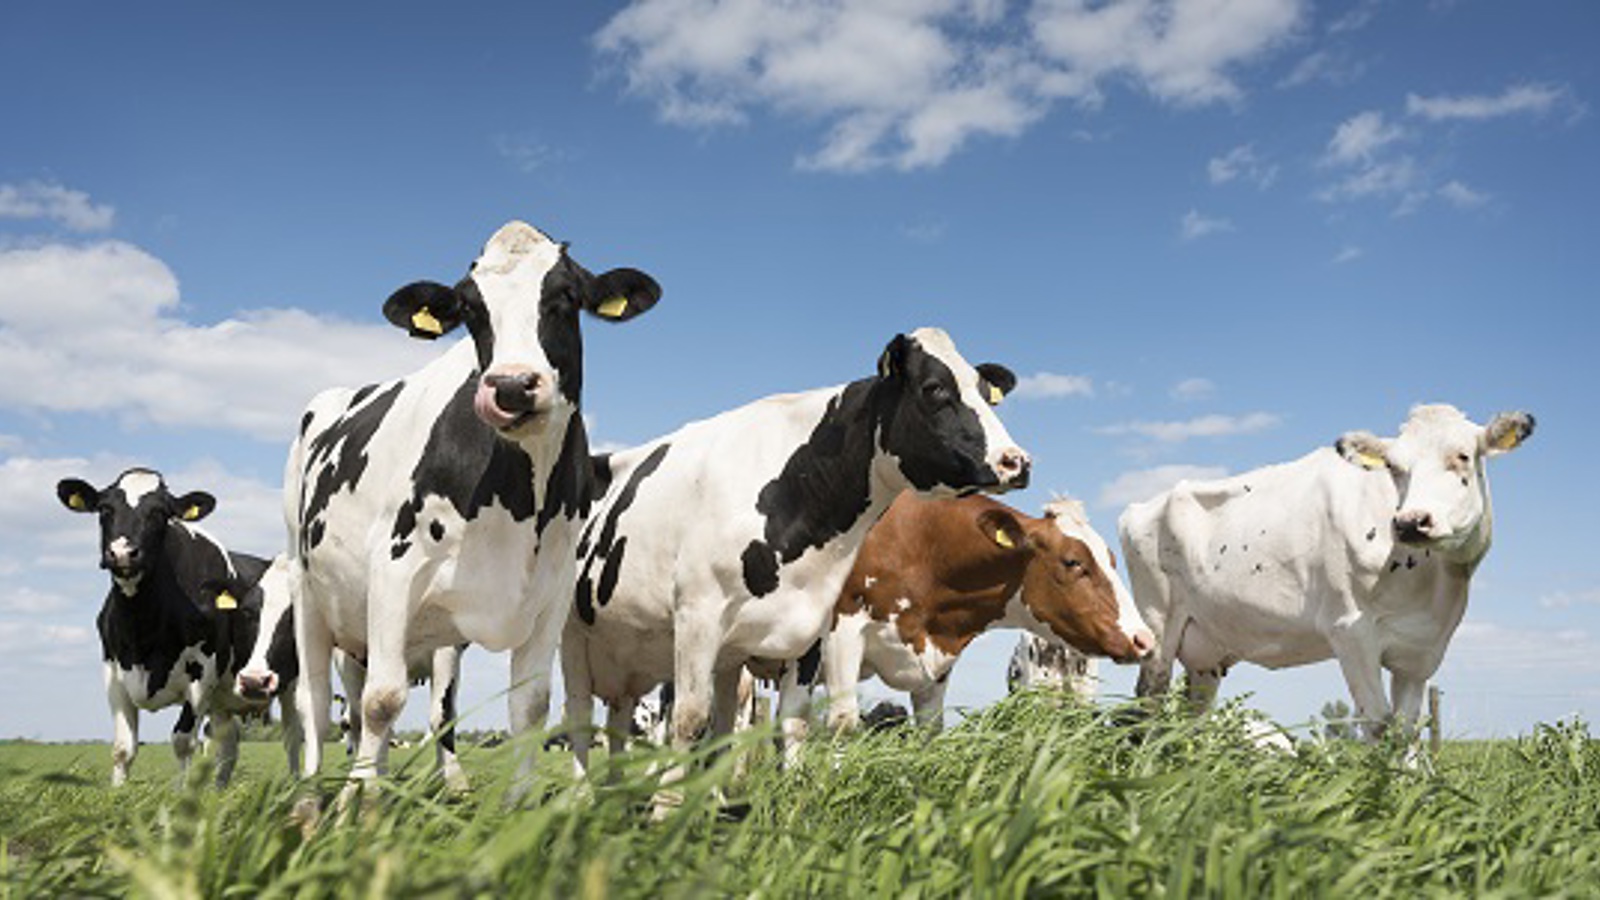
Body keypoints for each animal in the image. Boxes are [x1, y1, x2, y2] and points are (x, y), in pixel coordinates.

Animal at [56, 468, 302, 786]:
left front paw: (181, 794)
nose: (122, 553)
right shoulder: (113, 674)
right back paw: (219, 789)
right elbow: (123, 748)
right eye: (104, 509)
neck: (142, 627)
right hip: (224, 699)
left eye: (160, 513)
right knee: (228, 744)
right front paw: (117, 791)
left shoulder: (202, 676)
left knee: (292, 737)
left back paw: (297, 785)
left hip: (290, 682)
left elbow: (183, 742)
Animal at [284, 220, 661, 791]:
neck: (520, 502)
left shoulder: (551, 593)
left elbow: (530, 706)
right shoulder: (394, 569)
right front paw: (363, 805)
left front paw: (519, 802)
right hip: (308, 588)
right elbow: (381, 701)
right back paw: (315, 791)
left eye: (566, 296)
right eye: (469, 308)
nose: (511, 385)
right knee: (320, 704)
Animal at [560, 326, 1031, 782]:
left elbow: (791, 725)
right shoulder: (698, 616)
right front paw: (667, 806)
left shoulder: (807, 631)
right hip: (572, 636)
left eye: (984, 390)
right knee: (581, 717)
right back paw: (583, 795)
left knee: (629, 721)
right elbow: (690, 720)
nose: (1017, 461)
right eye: (934, 388)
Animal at [775, 495, 1151, 756]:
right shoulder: (842, 630)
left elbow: (930, 731)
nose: (1144, 639)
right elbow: (842, 722)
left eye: (1113, 560)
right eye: (1073, 562)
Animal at [1120, 404, 1534, 740]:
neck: (1432, 584)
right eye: (1393, 467)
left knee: (1193, 717)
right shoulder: (1350, 630)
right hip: (1156, 627)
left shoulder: (1422, 651)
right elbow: (1378, 724)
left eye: (1462, 455)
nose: (1410, 522)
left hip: (1206, 651)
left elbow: (1406, 731)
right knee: (1147, 705)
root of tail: (1143, 506)